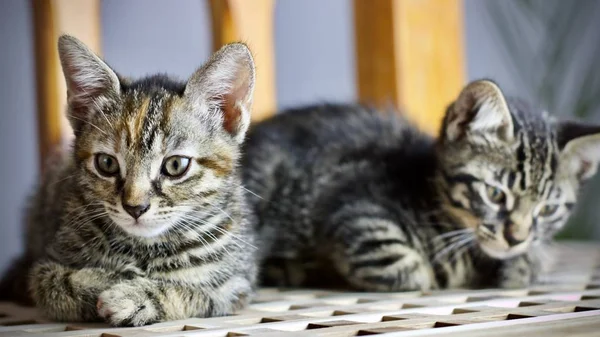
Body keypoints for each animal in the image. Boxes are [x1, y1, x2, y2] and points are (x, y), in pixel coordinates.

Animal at [0, 34, 258, 326]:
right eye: (107, 163)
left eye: (175, 165)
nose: (135, 207)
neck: (145, 248)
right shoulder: (44, 267)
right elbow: (59, 284)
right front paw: (111, 280)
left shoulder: (235, 286)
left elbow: (190, 292)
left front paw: (134, 295)